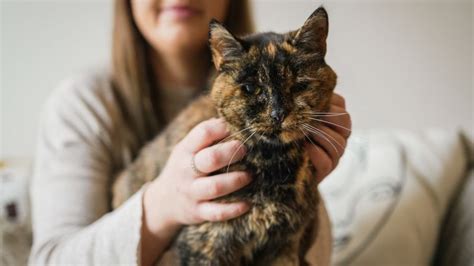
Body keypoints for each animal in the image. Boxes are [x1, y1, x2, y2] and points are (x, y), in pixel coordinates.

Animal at [112, 6, 336, 266]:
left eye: (299, 86)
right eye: (250, 88)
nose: (278, 113)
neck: (273, 164)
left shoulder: (284, 247)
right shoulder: (205, 245)